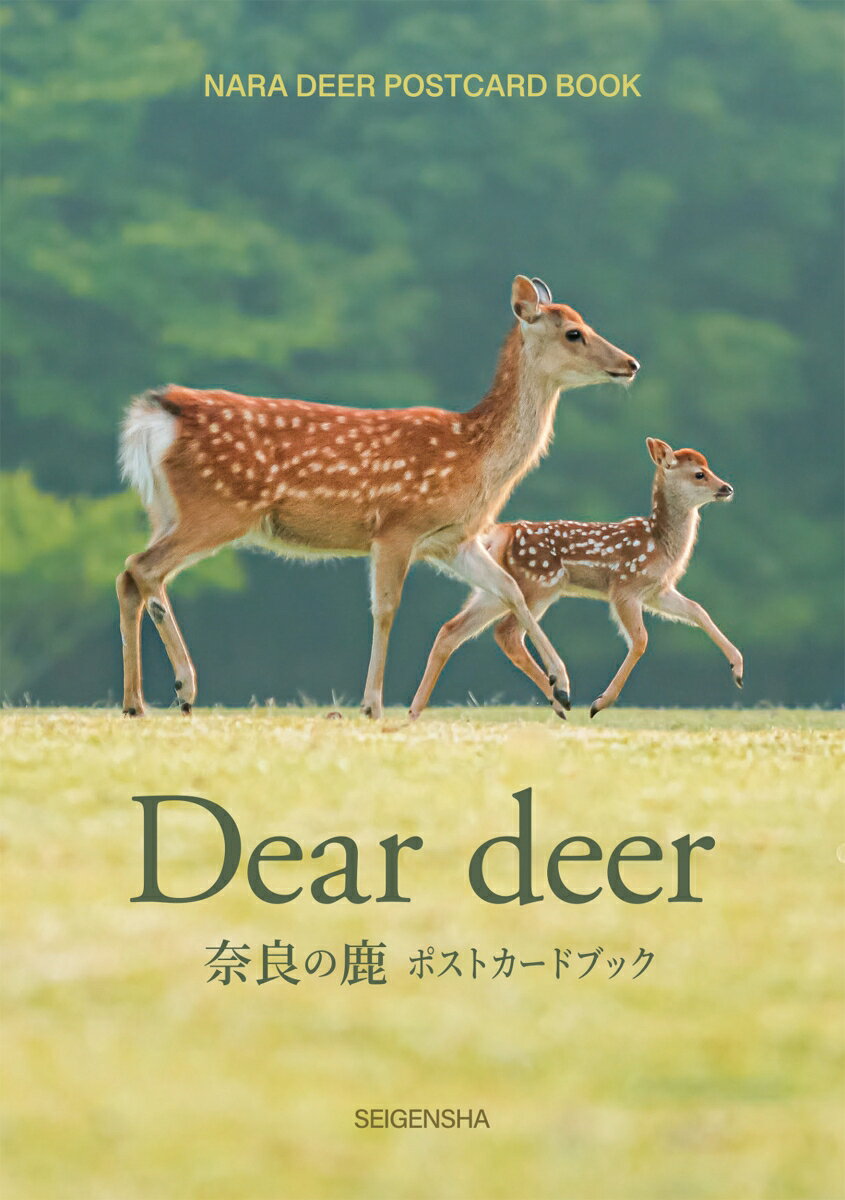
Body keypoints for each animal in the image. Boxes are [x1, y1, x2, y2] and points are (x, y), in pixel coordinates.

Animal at [117, 275, 638, 717]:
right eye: (574, 332)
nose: (630, 364)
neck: (475, 457)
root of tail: (158, 415)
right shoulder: (397, 527)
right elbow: (386, 609)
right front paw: (371, 704)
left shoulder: (451, 540)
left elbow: (510, 588)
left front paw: (563, 686)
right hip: (216, 508)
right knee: (143, 568)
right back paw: (183, 687)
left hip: (167, 510)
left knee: (130, 576)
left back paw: (136, 703)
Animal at [408, 438, 743, 720]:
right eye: (699, 474)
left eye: (709, 468)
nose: (727, 488)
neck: (660, 544)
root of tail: (502, 533)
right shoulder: (625, 585)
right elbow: (640, 640)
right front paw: (599, 703)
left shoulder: (656, 591)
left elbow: (697, 610)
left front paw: (737, 669)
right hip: (540, 584)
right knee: (507, 633)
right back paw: (561, 697)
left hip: (494, 590)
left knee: (452, 630)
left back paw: (414, 712)